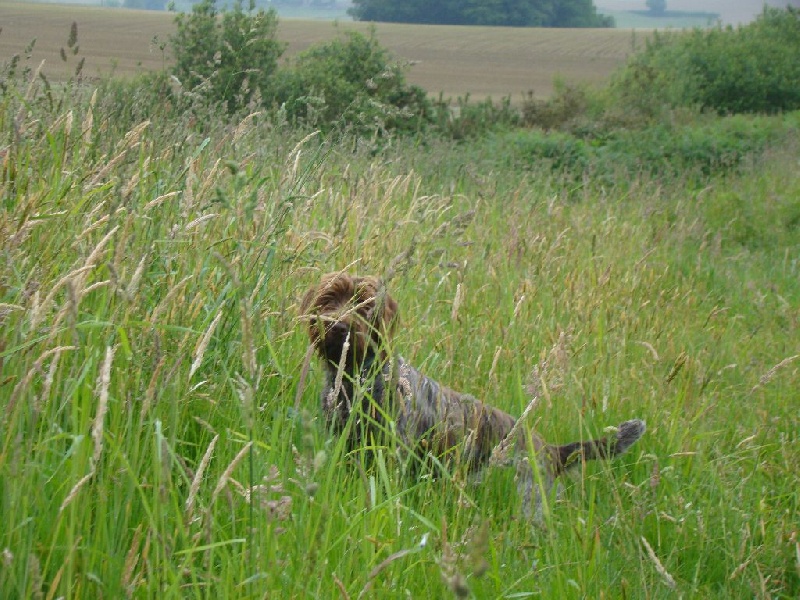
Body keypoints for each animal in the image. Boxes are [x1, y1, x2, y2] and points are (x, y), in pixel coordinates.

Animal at [300, 270, 644, 516]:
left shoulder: (393, 451)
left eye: (367, 305)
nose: (338, 326)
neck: (356, 378)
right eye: (329, 297)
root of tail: (548, 448)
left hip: (528, 498)